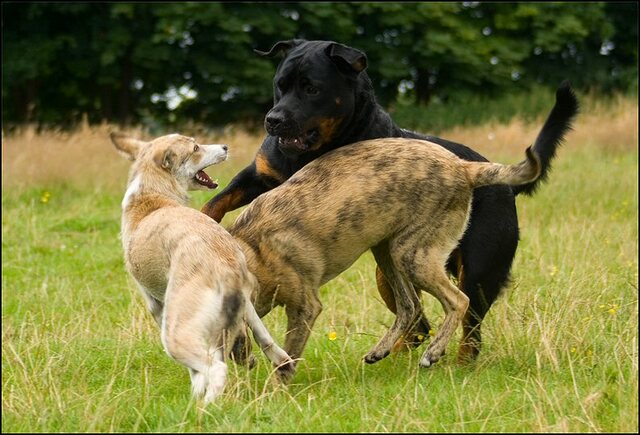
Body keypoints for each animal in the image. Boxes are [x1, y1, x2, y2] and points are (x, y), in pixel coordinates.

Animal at [112, 134, 292, 406]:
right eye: (196, 147)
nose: (226, 147)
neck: (151, 194)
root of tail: (223, 264)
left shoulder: (155, 304)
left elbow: (197, 371)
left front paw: (197, 390)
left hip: (175, 334)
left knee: (217, 368)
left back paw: (203, 408)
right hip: (241, 307)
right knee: (267, 343)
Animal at [229, 138, 540, 380]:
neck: (253, 250)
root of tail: (463, 167)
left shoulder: (305, 306)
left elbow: (287, 358)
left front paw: (274, 392)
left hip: (411, 255)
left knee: (458, 301)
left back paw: (433, 352)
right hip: (388, 251)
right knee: (410, 306)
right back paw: (381, 350)